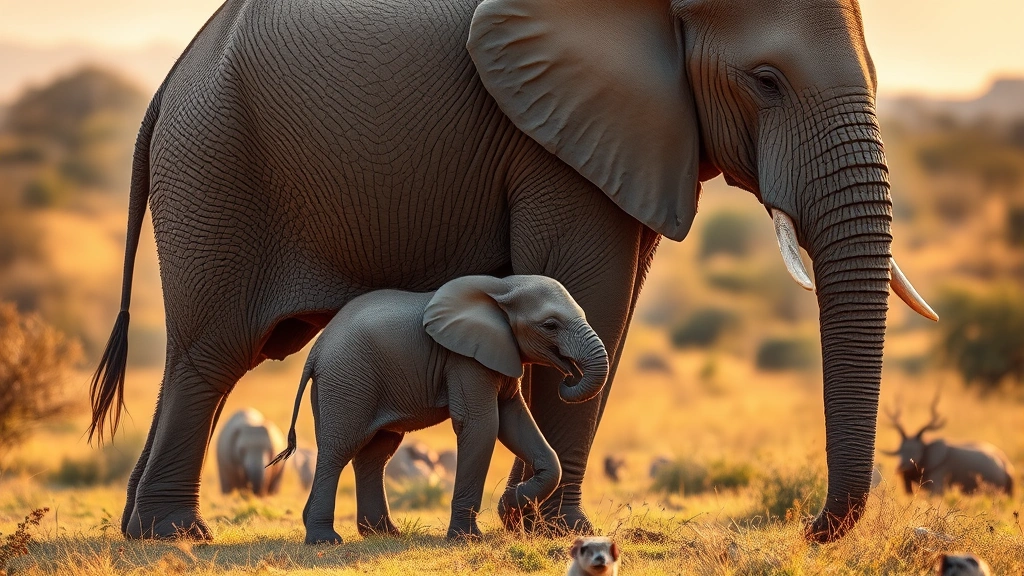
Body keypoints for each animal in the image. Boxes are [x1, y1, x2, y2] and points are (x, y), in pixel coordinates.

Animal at [270, 274, 609, 543]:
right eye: (550, 325)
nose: (569, 376)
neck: (503, 287)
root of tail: (315, 351)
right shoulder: (465, 359)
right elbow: (482, 425)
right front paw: (468, 538)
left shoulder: (500, 352)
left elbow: (514, 422)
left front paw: (514, 501)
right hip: (346, 380)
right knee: (338, 449)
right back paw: (324, 540)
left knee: (375, 453)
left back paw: (383, 534)